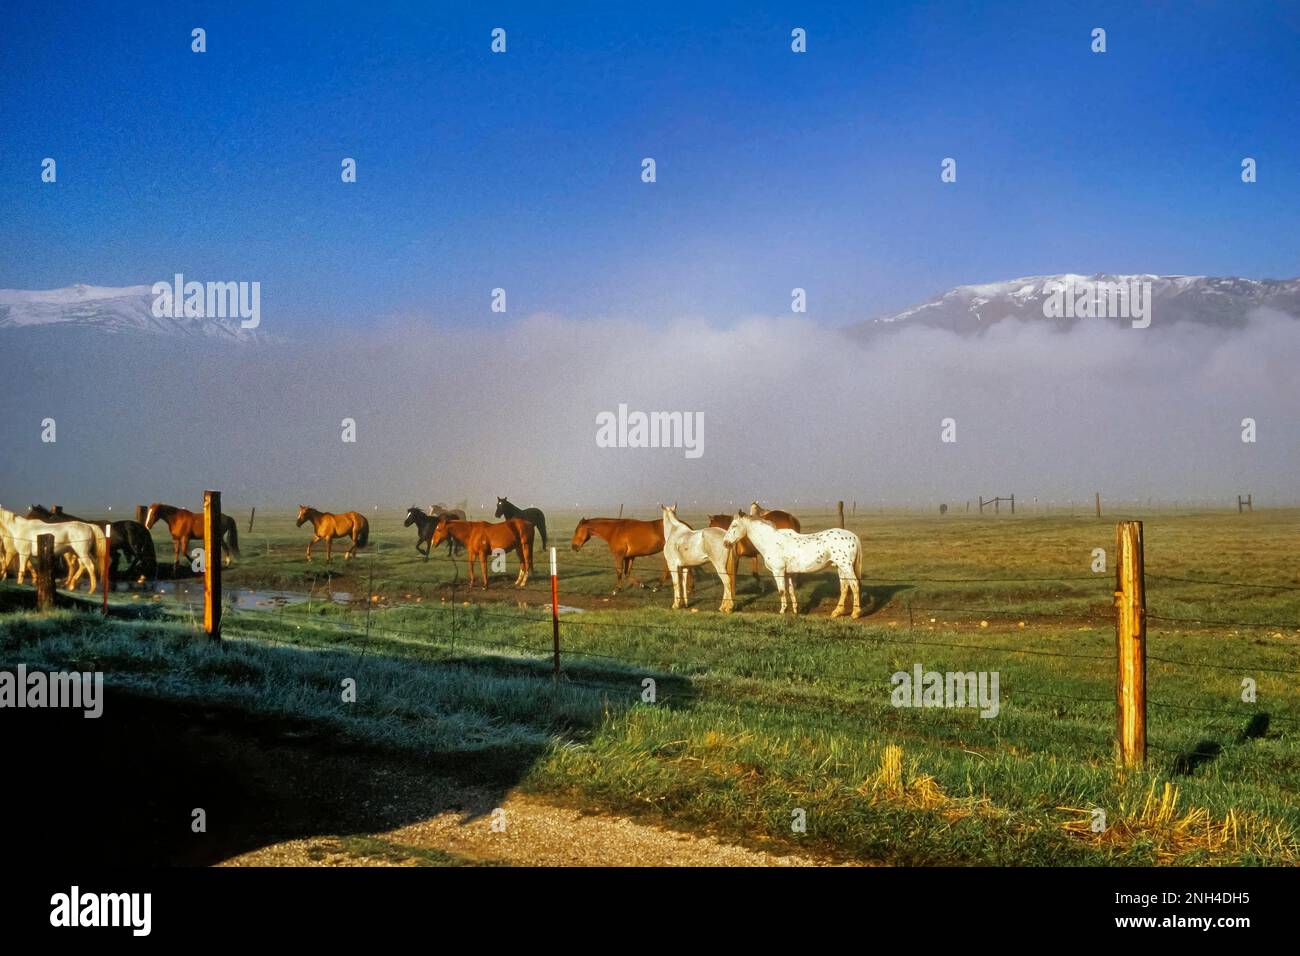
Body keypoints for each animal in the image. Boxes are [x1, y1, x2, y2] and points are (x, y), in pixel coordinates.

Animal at [26, 504, 157, 580]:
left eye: (31, 514)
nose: (25, 522)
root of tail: (141, 527)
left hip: (133, 546)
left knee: (139, 556)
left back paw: (130, 572)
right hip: (127, 547)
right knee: (138, 557)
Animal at [722, 515, 863, 621]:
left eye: (734, 525)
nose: (725, 543)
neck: (771, 541)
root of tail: (853, 536)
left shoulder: (778, 571)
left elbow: (781, 591)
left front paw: (782, 611)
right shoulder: (788, 573)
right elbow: (790, 590)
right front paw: (795, 610)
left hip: (846, 567)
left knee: (854, 585)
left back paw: (855, 613)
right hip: (841, 568)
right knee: (844, 588)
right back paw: (837, 612)